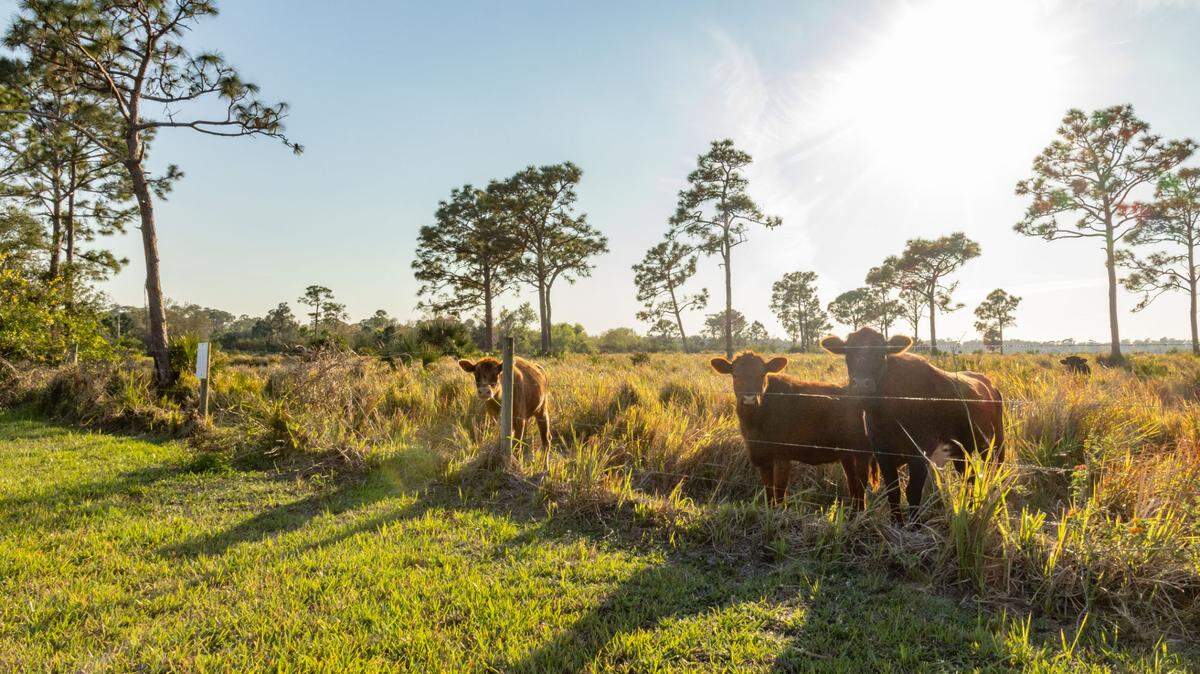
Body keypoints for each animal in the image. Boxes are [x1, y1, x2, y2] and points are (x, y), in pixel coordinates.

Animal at [710, 351, 874, 508]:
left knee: (861, 486)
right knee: (853, 484)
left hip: (862, 453)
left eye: (762, 374)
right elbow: (769, 491)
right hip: (847, 454)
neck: (754, 425)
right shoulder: (762, 456)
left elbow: (779, 491)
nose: (749, 399)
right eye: (735, 374)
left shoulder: (782, 456)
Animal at [820, 328, 1004, 523]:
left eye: (881, 353)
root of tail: (989, 384)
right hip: (961, 451)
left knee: (994, 471)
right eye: (848, 353)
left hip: (995, 445)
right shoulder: (883, 453)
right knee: (968, 478)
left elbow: (913, 492)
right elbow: (893, 491)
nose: (862, 384)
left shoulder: (920, 454)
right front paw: (897, 522)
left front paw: (914, 524)